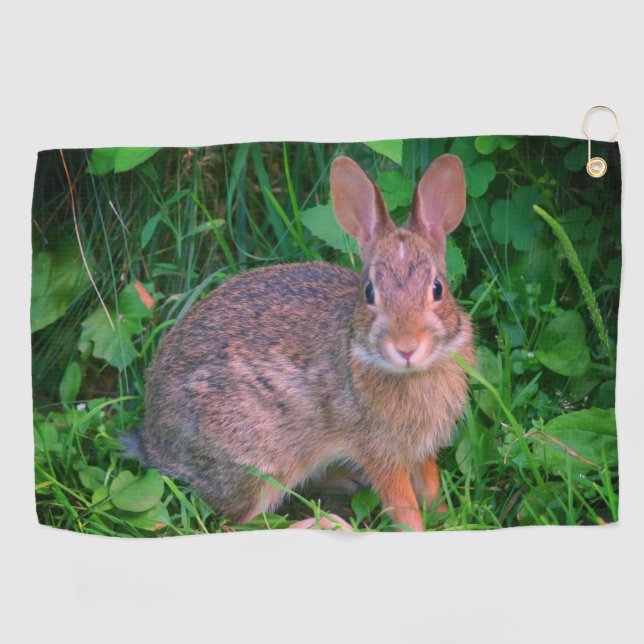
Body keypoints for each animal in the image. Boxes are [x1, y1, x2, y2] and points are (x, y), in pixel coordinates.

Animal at [128, 153, 474, 531]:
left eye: (437, 288)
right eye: (369, 293)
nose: (407, 347)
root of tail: (156, 442)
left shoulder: (421, 450)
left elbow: (430, 486)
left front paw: (446, 516)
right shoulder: (379, 452)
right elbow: (403, 506)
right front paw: (419, 528)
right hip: (257, 458)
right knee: (240, 523)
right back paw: (327, 523)